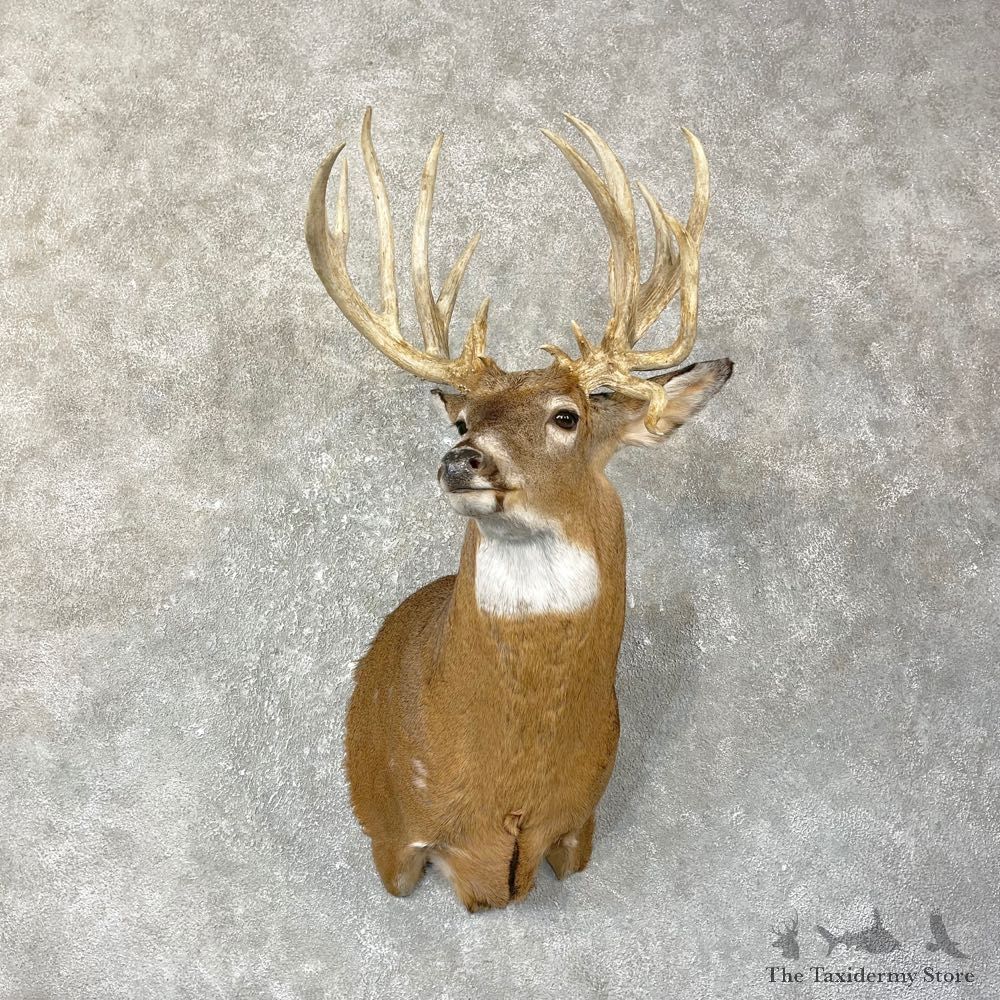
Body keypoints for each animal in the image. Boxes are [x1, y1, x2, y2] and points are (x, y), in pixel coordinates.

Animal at [305, 108, 732, 911]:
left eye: (568, 416)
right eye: (461, 419)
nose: (461, 461)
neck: (509, 789)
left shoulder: (580, 823)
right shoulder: (396, 837)